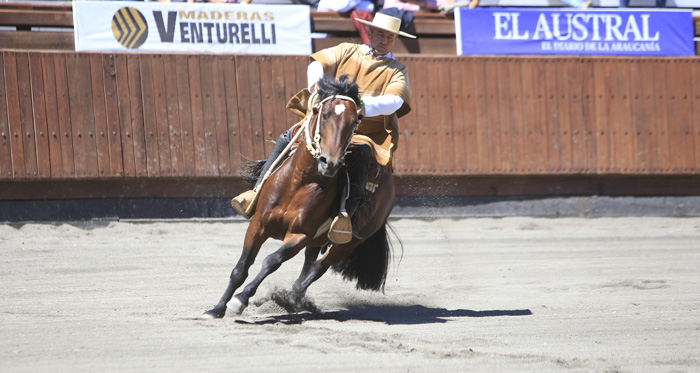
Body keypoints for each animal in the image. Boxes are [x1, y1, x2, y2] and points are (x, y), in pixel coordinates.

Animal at [202, 75, 396, 316]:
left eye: (355, 121)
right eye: (322, 113)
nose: (329, 163)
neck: (298, 182)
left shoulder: (300, 235)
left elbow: (271, 261)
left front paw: (241, 299)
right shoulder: (258, 224)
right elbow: (241, 267)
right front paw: (217, 308)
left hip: (346, 243)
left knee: (318, 267)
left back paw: (292, 298)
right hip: (316, 240)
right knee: (309, 262)